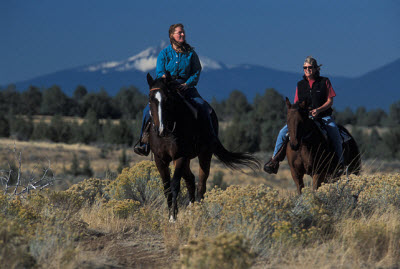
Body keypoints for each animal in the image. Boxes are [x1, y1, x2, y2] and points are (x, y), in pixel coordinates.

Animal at [146, 71, 260, 220]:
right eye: (150, 100)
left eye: (168, 99)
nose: (160, 130)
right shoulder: (160, 159)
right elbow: (167, 187)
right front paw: (171, 214)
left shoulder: (180, 156)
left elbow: (175, 184)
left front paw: (173, 218)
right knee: (190, 179)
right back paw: (191, 209)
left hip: (204, 155)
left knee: (201, 184)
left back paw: (198, 212)